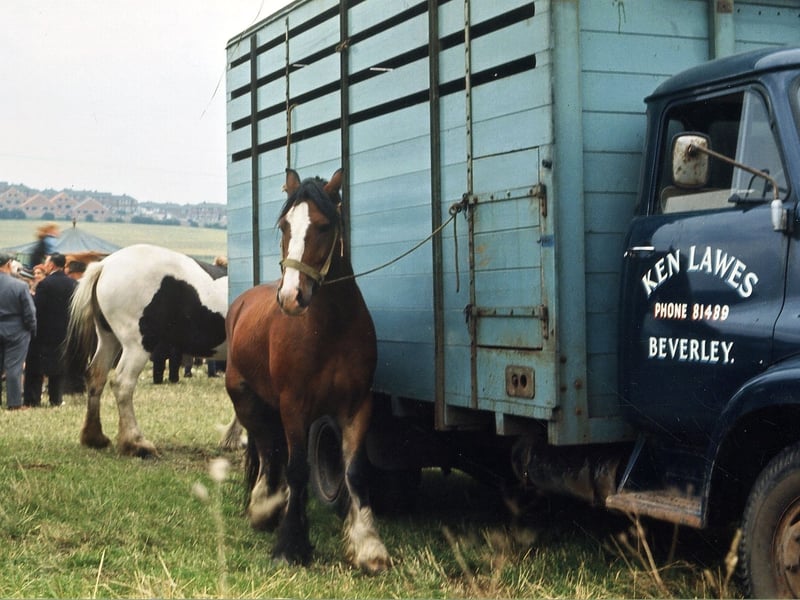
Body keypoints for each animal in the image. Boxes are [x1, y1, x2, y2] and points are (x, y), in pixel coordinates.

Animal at [64, 243, 235, 457]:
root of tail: (104, 265)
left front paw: (232, 439)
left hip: (108, 340)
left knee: (96, 377)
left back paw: (94, 437)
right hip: (137, 347)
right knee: (123, 384)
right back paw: (136, 443)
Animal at [225, 168, 390, 572]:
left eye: (324, 226)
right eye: (285, 225)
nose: (290, 297)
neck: (330, 327)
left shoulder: (357, 406)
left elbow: (355, 471)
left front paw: (367, 546)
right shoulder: (293, 405)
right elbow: (297, 467)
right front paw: (290, 544)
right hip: (248, 402)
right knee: (268, 450)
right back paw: (264, 506)